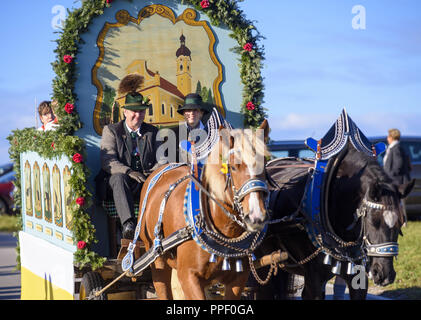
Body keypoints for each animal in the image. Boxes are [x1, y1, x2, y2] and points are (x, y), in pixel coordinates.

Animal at [138, 119, 270, 298]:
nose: (256, 216)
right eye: (233, 167)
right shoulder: (188, 276)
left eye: (264, 165)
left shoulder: (238, 279)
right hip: (156, 258)